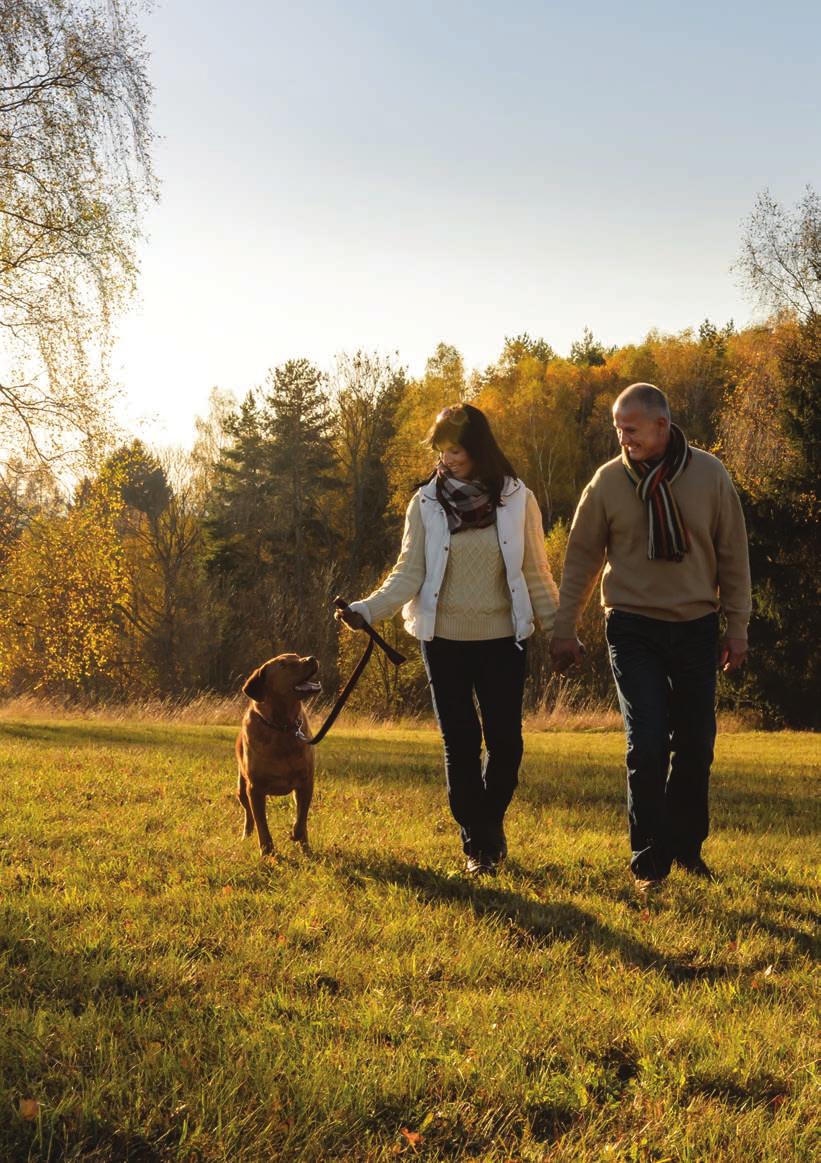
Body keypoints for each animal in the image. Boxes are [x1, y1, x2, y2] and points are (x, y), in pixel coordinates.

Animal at [233, 655, 320, 855]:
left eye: (298, 656)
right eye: (283, 664)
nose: (311, 658)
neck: (283, 727)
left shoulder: (306, 782)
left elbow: (302, 817)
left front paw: (297, 836)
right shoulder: (255, 789)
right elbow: (262, 825)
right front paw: (267, 851)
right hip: (241, 789)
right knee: (248, 814)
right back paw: (246, 834)